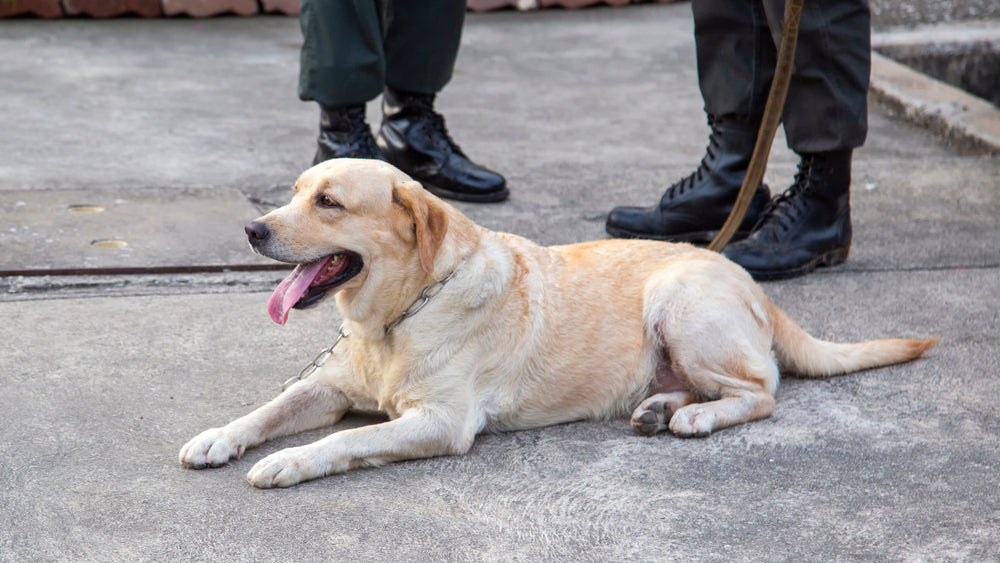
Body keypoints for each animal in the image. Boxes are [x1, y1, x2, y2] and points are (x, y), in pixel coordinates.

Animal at [176, 159, 932, 490]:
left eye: (329, 202)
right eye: (295, 192)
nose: (251, 229)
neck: (396, 317)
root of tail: (743, 275)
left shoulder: (441, 422)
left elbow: (342, 441)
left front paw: (290, 461)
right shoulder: (329, 386)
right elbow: (267, 409)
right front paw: (220, 437)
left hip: (678, 301)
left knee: (761, 391)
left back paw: (692, 416)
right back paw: (661, 406)